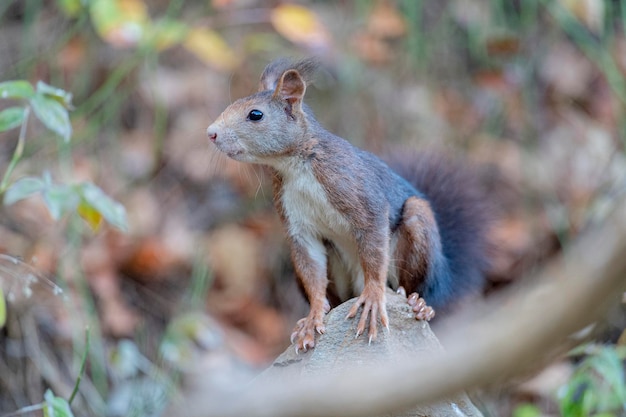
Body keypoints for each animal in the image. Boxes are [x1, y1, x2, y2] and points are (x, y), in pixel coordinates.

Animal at [207, 58, 490, 352]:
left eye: (255, 114)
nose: (211, 133)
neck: (295, 165)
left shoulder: (360, 195)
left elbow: (374, 249)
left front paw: (374, 298)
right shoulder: (297, 224)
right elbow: (312, 270)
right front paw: (313, 316)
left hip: (419, 230)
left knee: (421, 285)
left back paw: (419, 304)